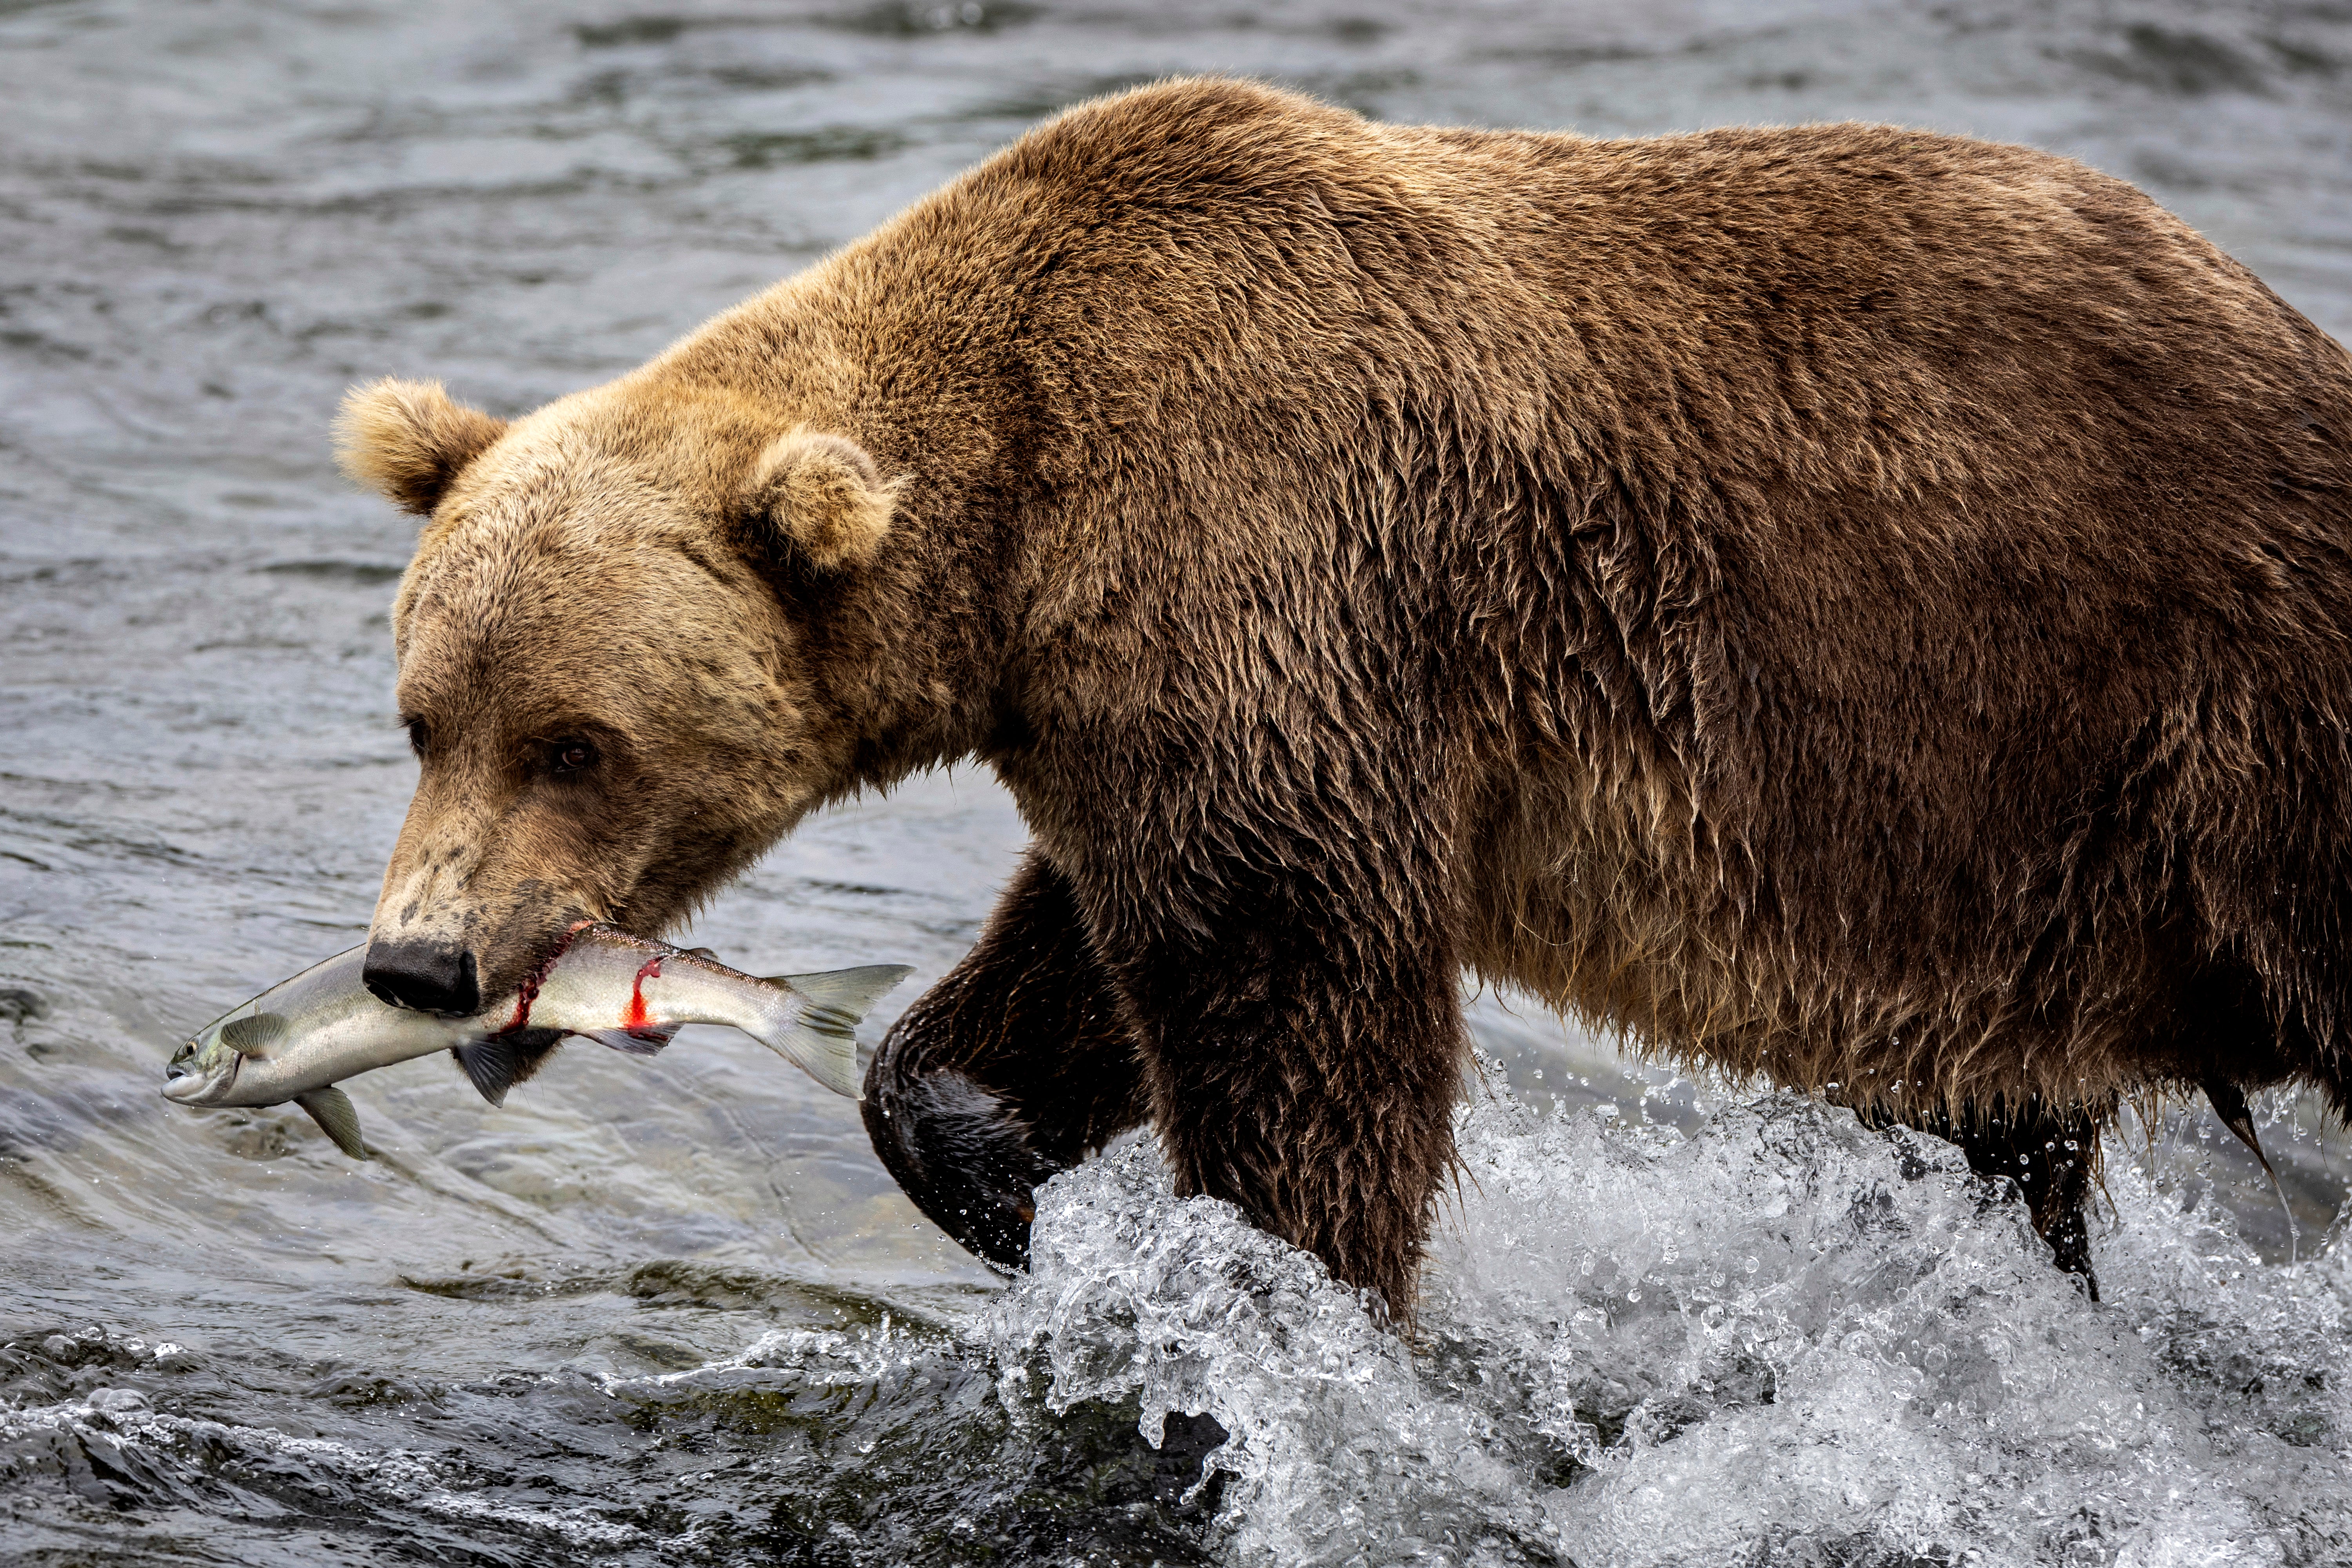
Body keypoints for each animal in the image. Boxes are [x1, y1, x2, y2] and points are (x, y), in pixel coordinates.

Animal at [338, 78, 2352, 1318]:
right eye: (424, 716)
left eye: (576, 743)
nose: (419, 960)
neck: (1020, 511)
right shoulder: (1154, 698)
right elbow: (1079, 966)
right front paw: (994, 1166)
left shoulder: (1284, 558)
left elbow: (1302, 1009)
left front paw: (1293, 1291)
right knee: (2013, 1121)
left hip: (2206, 713)